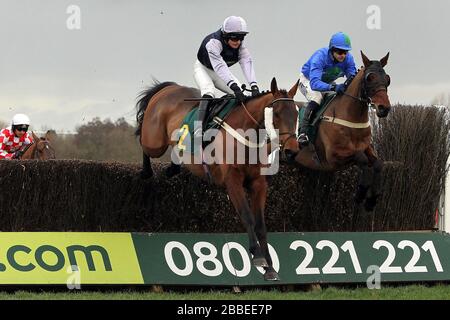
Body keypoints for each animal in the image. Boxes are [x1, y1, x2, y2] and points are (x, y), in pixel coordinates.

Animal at [135, 77, 300, 280]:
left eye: (296, 113)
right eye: (276, 114)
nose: (292, 150)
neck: (246, 135)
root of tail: (168, 88)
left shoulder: (258, 184)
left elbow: (261, 225)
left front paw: (270, 268)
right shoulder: (232, 181)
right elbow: (247, 217)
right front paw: (258, 256)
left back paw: (173, 168)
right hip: (155, 142)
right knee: (142, 140)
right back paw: (146, 171)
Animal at [296, 51, 390, 211]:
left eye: (388, 79)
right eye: (370, 78)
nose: (384, 108)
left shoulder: (366, 147)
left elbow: (378, 164)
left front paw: (371, 200)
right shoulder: (333, 156)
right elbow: (362, 158)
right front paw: (360, 193)